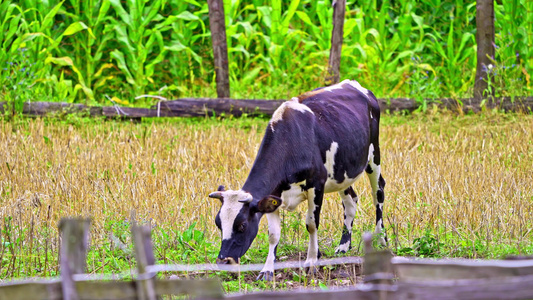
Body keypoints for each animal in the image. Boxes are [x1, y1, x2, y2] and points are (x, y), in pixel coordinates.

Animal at [208, 78, 386, 280]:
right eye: (218, 223)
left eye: (243, 225)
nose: (224, 261)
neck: (290, 141)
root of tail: (353, 83)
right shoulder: (273, 195)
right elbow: (273, 234)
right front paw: (267, 270)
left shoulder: (316, 185)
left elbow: (312, 224)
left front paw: (311, 262)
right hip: (342, 171)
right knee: (351, 201)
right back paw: (343, 246)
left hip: (374, 156)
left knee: (378, 193)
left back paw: (381, 238)